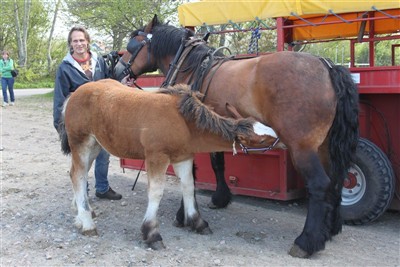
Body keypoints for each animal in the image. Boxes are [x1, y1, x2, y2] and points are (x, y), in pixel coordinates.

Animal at [58, 78, 276, 250]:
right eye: (262, 140)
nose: (280, 141)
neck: (184, 123)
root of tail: (73, 94)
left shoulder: (184, 158)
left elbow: (188, 187)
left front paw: (198, 223)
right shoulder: (157, 157)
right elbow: (156, 192)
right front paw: (152, 234)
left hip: (96, 145)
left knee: (77, 173)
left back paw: (81, 213)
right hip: (81, 143)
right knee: (78, 175)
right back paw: (87, 223)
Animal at [112, 15, 360, 258]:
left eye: (131, 46)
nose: (117, 72)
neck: (190, 67)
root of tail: (326, 67)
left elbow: (190, 175)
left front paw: (185, 215)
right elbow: (217, 164)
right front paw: (220, 198)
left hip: (302, 147)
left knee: (319, 184)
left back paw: (307, 241)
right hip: (324, 145)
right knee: (336, 179)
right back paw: (330, 228)